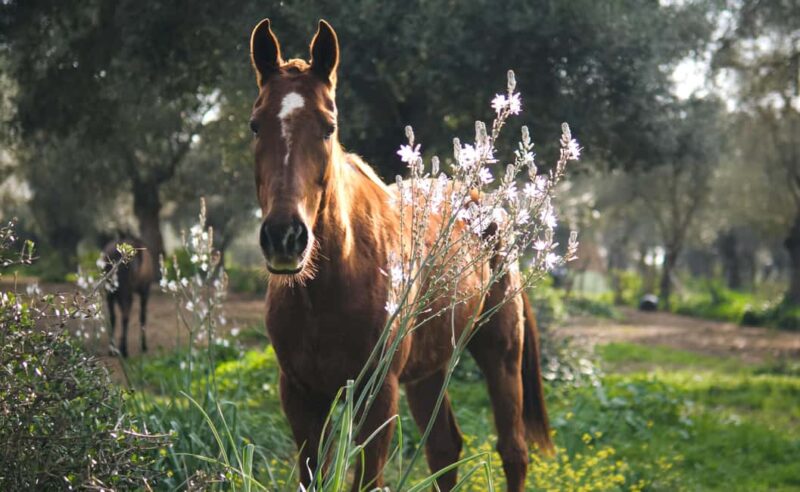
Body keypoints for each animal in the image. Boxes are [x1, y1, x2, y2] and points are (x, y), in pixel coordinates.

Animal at [249, 19, 552, 491]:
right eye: (255, 125)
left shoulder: (377, 395)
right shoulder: (300, 395)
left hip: (501, 353)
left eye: (328, 126)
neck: (331, 284)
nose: (285, 237)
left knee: (513, 452)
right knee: (444, 447)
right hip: (430, 371)